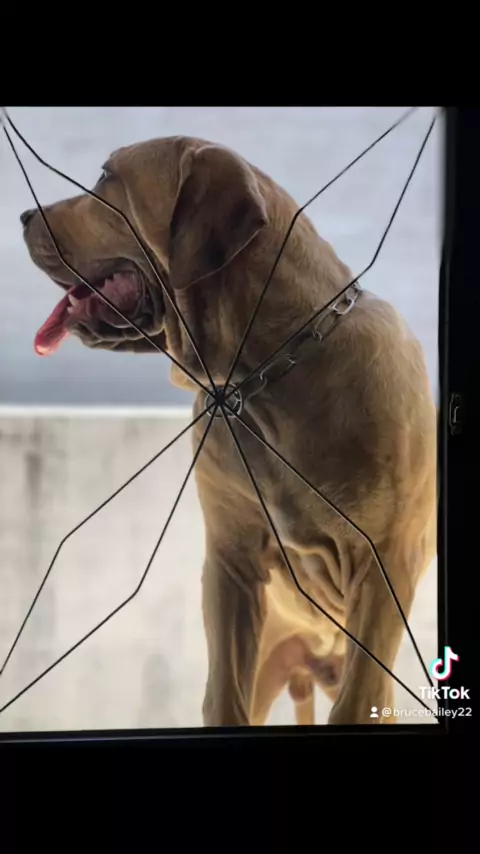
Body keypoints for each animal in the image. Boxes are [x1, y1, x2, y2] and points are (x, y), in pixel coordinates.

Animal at [20, 135, 437, 726]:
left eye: (105, 178)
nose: (24, 215)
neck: (262, 375)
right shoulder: (231, 564)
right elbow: (224, 696)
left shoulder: (387, 563)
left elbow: (358, 699)